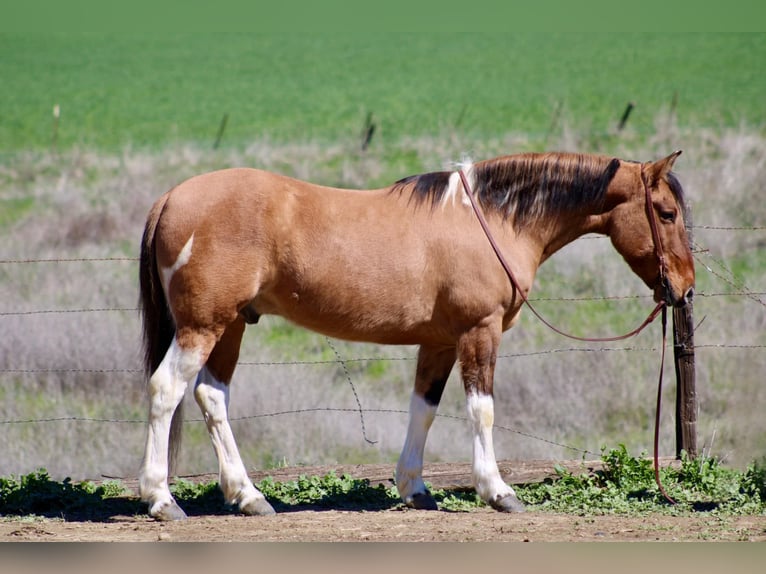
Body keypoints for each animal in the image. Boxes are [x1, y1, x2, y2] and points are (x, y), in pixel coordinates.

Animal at [136, 151, 696, 520]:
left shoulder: (440, 341)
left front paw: (415, 488)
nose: (685, 288)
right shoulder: (478, 332)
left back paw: (249, 496)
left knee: (211, 396)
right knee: (166, 390)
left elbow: (423, 409)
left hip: (230, 325)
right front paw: (497, 491)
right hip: (203, 326)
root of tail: (170, 197)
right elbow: (481, 409)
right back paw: (162, 499)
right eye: (666, 213)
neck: (491, 220)